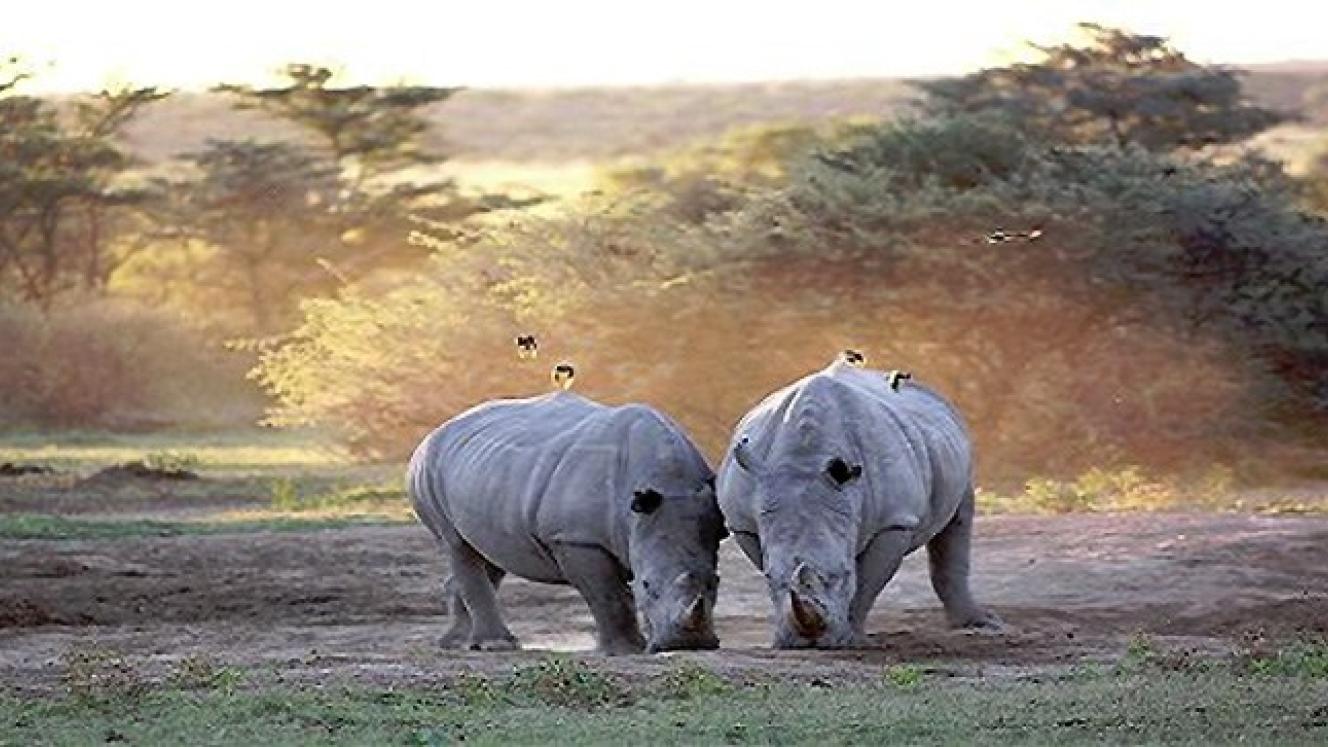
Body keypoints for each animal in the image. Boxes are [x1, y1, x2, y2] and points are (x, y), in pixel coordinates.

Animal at [408, 390, 725, 654]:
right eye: (646, 585)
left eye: (715, 581)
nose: (687, 644)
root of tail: (438, 430)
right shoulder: (576, 538)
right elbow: (609, 595)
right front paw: (626, 651)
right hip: (427, 469)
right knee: (456, 544)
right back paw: (495, 646)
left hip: (483, 471)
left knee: (490, 555)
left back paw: (457, 643)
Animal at [717, 358, 1001, 648]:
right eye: (769, 579)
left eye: (843, 575)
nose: (809, 643)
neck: (804, 460)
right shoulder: (743, 524)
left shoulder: (895, 521)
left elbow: (866, 583)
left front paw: (851, 639)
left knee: (958, 517)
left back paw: (982, 624)